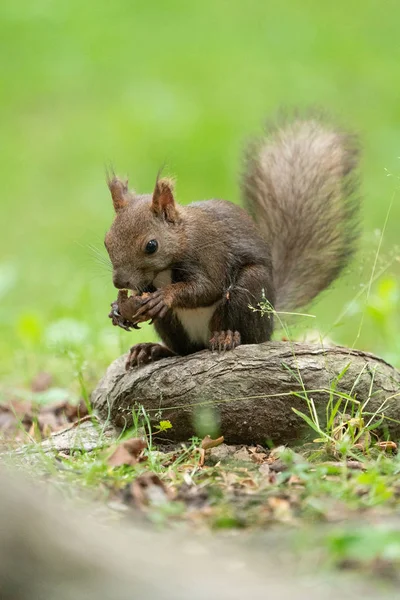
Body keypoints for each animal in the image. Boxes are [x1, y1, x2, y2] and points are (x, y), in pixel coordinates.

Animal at [104, 110, 360, 368]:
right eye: (107, 241)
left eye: (152, 246)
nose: (119, 282)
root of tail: (271, 317)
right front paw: (117, 309)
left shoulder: (210, 255)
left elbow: (207, 288)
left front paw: (164, 296)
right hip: (171, 325)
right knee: (184, 350)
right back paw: (152, 350)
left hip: (250, 290)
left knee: (246, 335)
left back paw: (227, 337)